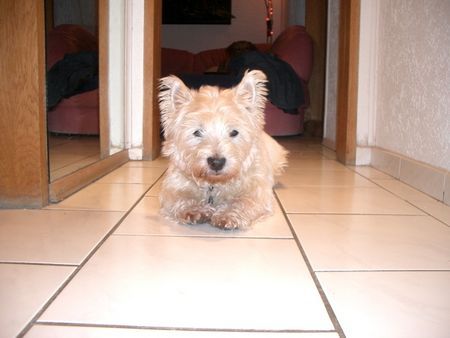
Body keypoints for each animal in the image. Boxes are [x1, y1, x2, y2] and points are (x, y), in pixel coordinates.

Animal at [158, 70, 288, 231]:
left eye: (234, 132)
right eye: (197, 132)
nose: (216, 162)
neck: (214, 184)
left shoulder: (257, 191)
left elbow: (244, 201)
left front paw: (228, 214)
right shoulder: (172, 187)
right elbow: (180, 198)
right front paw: (196, 210)